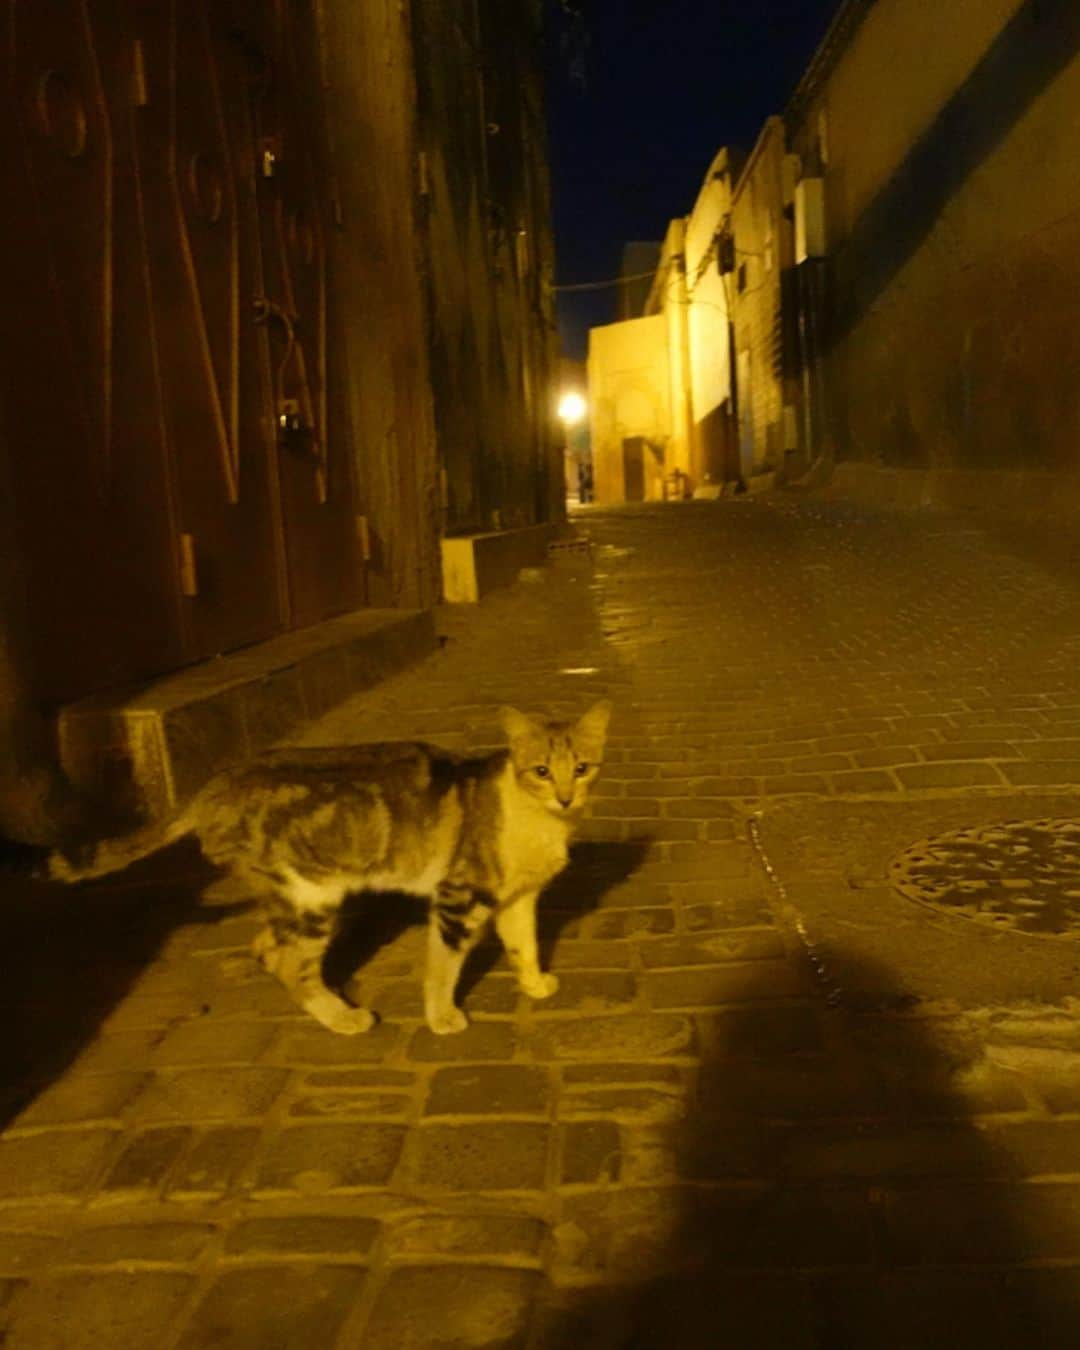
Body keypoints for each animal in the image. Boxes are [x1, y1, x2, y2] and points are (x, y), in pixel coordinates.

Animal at [40, 702, 607, 1036]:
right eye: (541, 770)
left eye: (581, 768)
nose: (565, 796)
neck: (538, 820)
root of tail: (217, 782)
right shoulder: (457, 898)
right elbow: (443, 966)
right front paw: (442, 1017)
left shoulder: (518, 899)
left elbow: (523, 943)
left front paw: (534, 984)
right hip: (312, 898)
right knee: (291, 962)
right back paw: (344, 1017)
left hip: (293, 899)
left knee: (268, 949)